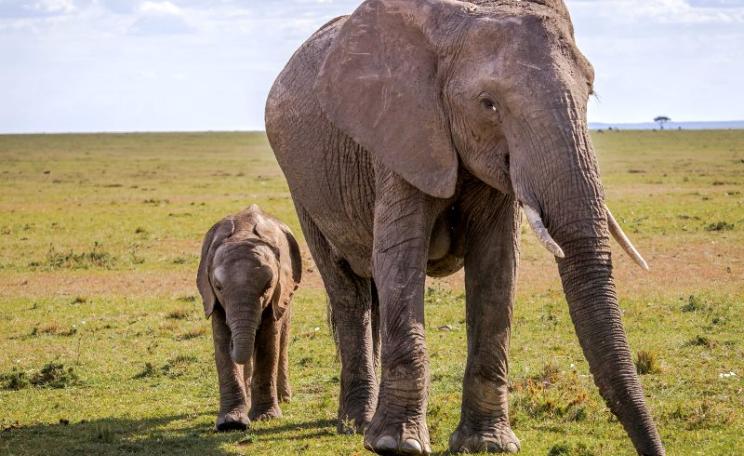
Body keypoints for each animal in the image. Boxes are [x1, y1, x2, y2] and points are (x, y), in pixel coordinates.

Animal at [196, 204, 302, 431]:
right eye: (218, 287)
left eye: (268, 286)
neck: (243, 233)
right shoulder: (212, 297)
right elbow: (220, 339)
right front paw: (231, 423)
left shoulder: (279, 291)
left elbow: (269, 343)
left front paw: (265, 417)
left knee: (283, 339)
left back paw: (284, 398)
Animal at [265, 0, 664, 454]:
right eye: (488, 104)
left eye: (590, 92)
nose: (654, 449)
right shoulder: (402, 132)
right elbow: (399, 260)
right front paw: (395, 444)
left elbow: (498, 270)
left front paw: (486, 444)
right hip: (303, 186)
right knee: (348, 292)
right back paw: (355, 423)